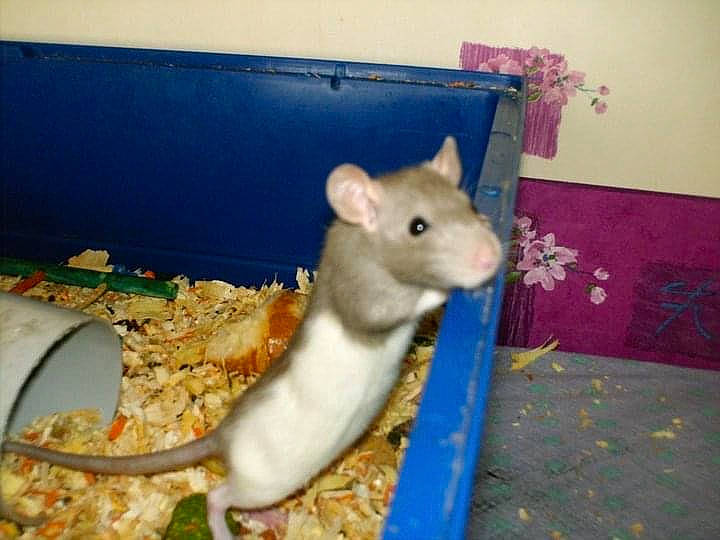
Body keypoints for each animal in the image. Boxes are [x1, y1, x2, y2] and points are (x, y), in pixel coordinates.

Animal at [1, 136, 502, 538]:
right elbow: (387, 310)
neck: (359, 236)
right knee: (218, 497)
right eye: (418, 226)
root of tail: (222, 438)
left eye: (469, 206)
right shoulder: (361, 294)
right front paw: (452, 288)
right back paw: (226, 526)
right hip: (264, 480)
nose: (492, 256)